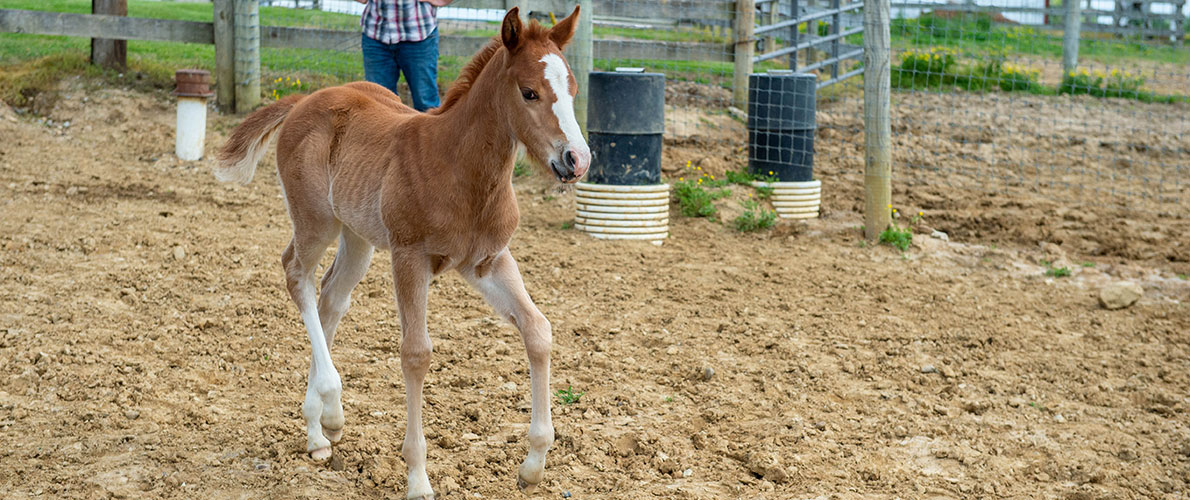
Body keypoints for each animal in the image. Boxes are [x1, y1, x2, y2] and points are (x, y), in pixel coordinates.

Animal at [215, 6, 590, 495]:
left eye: (573, 89)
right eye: (529, 92)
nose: (576, 160)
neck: (458, 168)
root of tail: (304, 99)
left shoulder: (488, 261)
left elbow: (538, 330)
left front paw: (533, 465)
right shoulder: (409, 257)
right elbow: (416, 353)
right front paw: (418, 480)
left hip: (357, 236)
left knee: (331, 297)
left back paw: (319, 430)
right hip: (316, 221)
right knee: (296, 275)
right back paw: (331, 403)